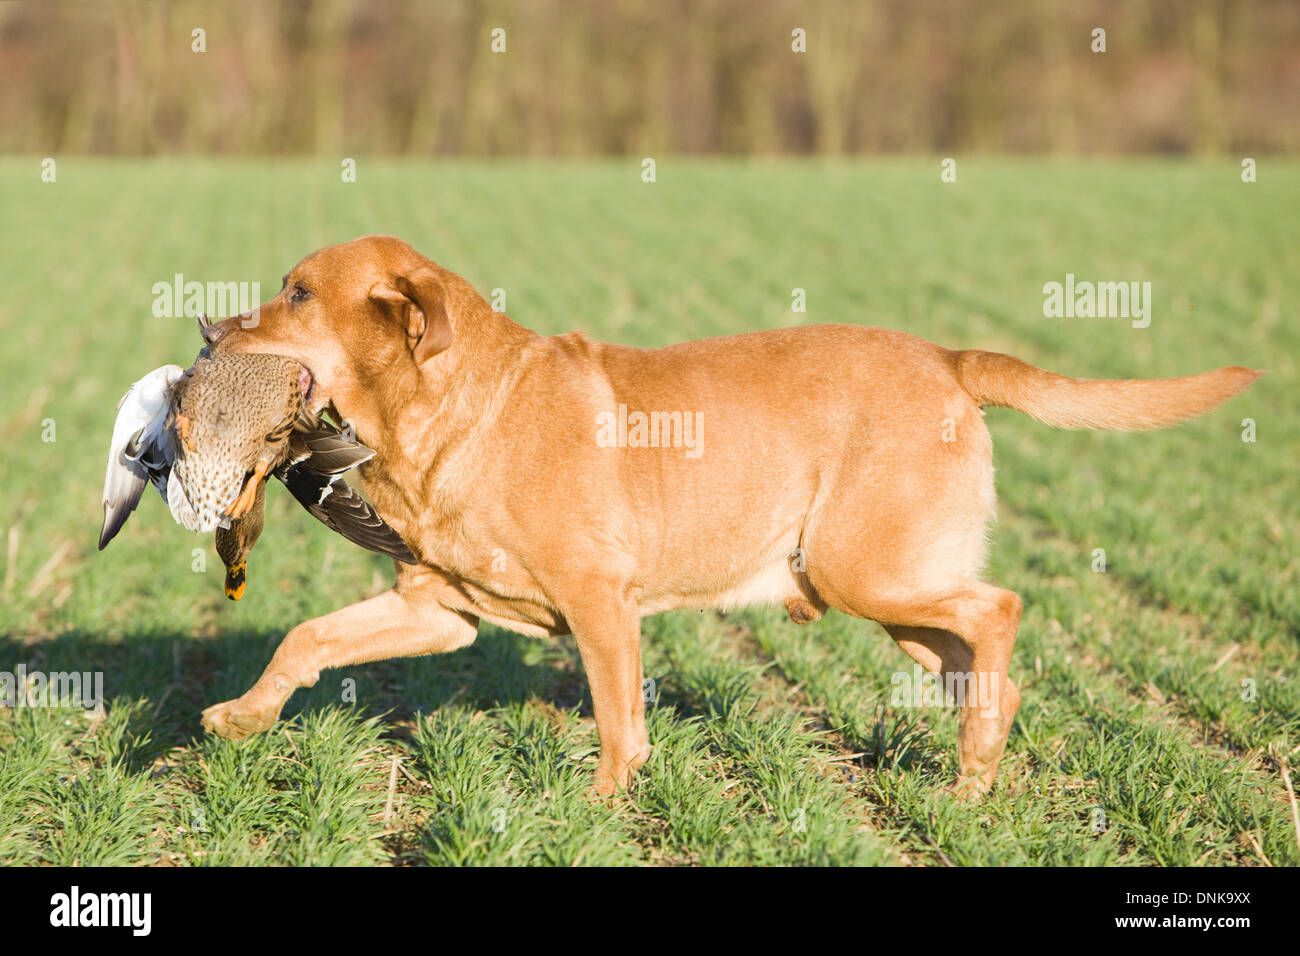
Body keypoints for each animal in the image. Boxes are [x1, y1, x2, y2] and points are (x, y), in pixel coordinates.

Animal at [200, 235, 1258, 796]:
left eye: (298, 293)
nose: (210, 331)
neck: (453, 414)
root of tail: (953, 359)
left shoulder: (601, 603)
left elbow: (620, 723)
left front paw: (597, 810)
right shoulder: (438, 610)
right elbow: (304, 639)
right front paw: (240, 717)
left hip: (866, 568)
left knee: (1001, 610)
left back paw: (970, 774)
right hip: (899, 600)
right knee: (990, 664)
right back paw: (979, 766)